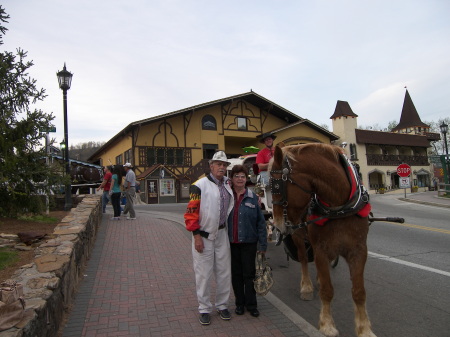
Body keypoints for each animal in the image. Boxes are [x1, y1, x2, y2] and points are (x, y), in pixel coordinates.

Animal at [270, 142, 376, 336]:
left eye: (277, 186)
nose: (279, 224)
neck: (339, 208)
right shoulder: (320, 250)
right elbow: (327, 290)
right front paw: (327, 325)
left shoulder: (358, 250)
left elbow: (359, 291)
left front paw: (364, 328)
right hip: (298, 235)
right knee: (304, 259)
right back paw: (307, 286)